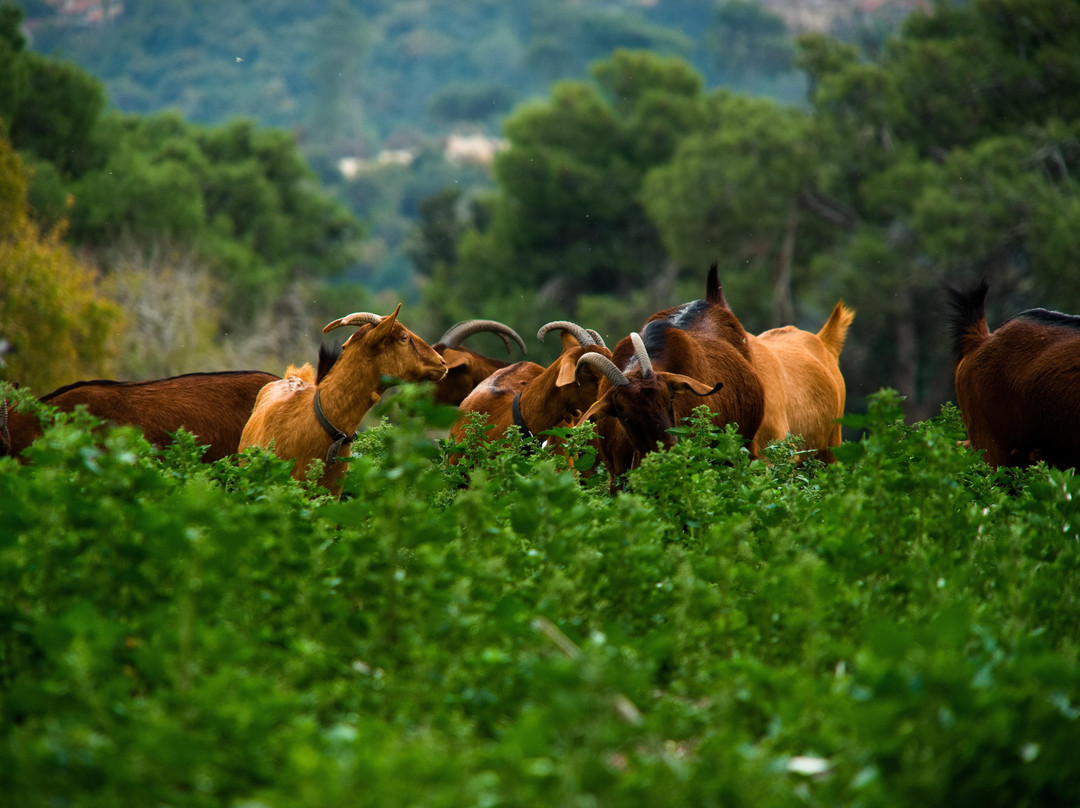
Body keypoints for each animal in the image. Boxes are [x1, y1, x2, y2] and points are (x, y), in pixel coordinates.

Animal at [576, 265, 765, 488]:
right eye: (623, 413)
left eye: (671, 397)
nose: (668, 451)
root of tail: (713, 302)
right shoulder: (615, 478)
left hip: (746, 448)